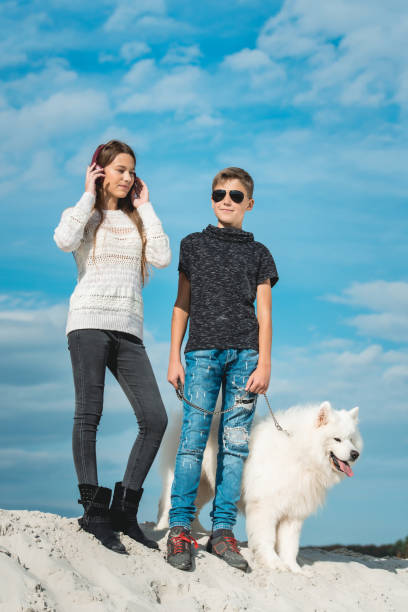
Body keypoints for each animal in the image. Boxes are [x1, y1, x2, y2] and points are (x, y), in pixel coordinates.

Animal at [157, 402, 364, 572]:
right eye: (337, 439)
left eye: (352, 440)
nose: (355, 454)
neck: (301, 454)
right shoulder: (265, 507)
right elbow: (267, 538)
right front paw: (273, 563)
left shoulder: (293, 512)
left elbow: (290, 545)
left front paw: (294, 569)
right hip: (187, 473)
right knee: (169, 503)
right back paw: (164, 528)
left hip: (206, 486)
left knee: (196, 508)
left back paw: (201, 531)